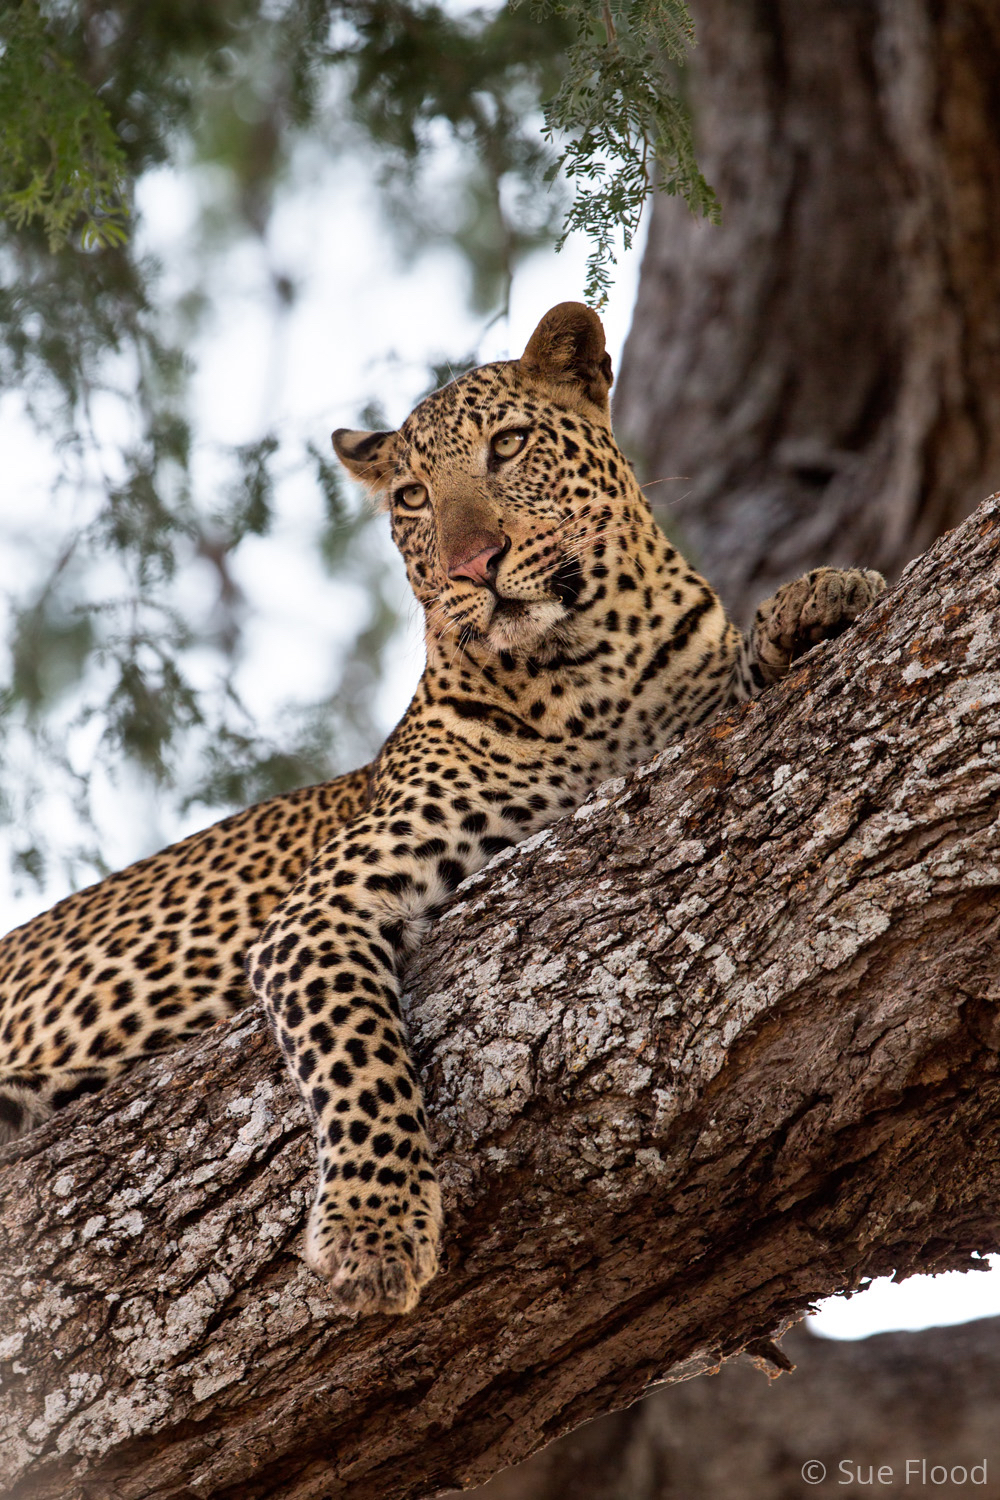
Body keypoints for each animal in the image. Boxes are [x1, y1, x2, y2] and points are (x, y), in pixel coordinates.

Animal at [0, 301, 881, 1314]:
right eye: (413, 499)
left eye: (509, 445)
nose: (475, 565)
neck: (592, 670)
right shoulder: (321, 911)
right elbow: (358, 1056)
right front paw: (372, 1229)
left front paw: (817, 597)